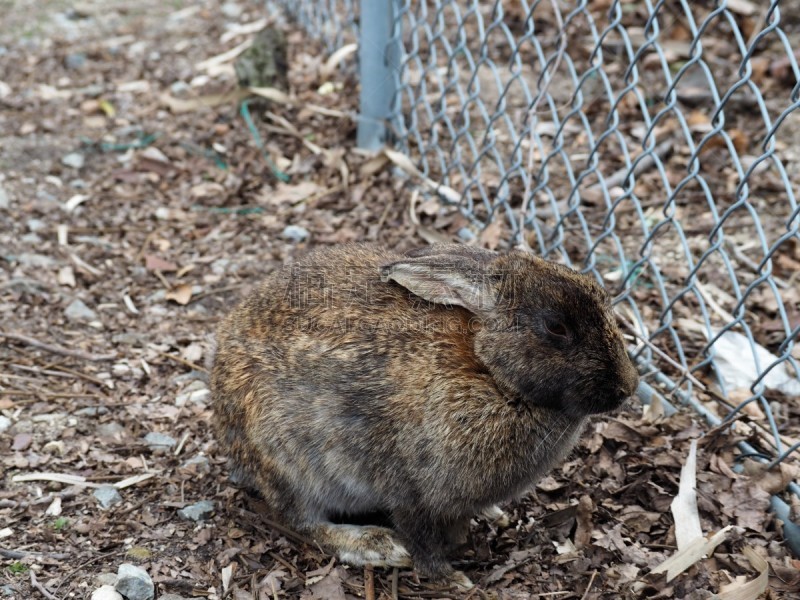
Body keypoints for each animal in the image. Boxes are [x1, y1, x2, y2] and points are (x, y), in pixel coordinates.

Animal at [211, 241, 636, 588]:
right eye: (556, 327)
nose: (628, 387)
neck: (489, 372)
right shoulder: (408, 485)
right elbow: (419, 537)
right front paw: (451, 580)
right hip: (287, 462)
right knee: (302, 520)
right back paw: (376, 546)